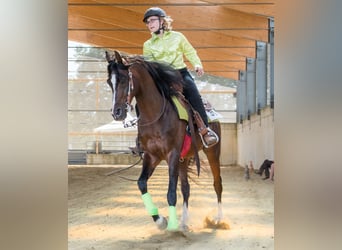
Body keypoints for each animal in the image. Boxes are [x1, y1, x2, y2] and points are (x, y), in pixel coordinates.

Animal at [107, 50, 224, 232]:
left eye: (124, 79)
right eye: (109, 82)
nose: (117, 112)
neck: (156, 116)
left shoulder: (172, 155)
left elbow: (171, 193)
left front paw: (172, 226)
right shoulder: (152, 156)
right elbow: (141, 184)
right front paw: (160, 220)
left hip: (212, 151)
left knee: (217, 183)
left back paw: (218, 219)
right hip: (185, 158)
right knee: (186, 188)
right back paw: (184, 222)